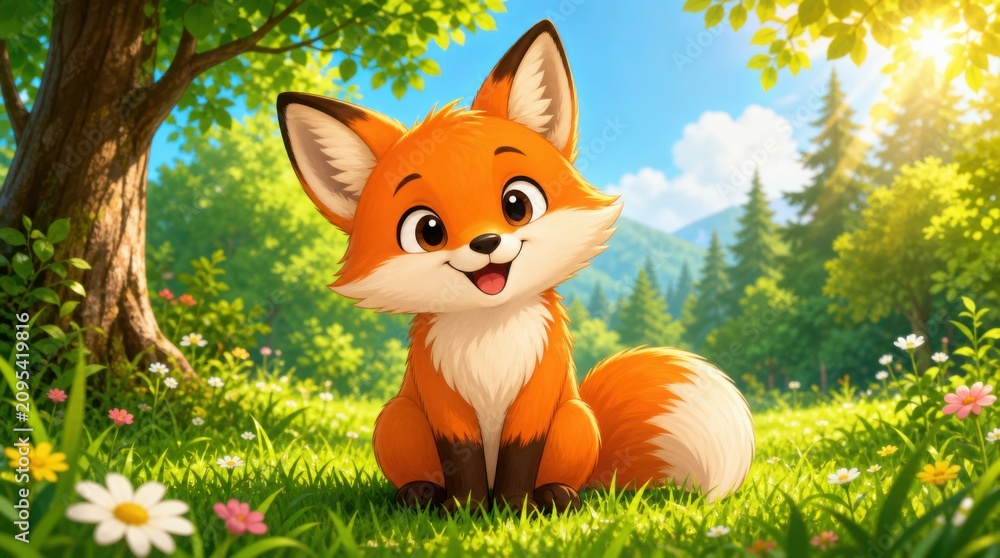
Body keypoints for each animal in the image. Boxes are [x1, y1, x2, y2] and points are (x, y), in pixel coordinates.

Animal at [276, 20, 755, 514]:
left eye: (517, 204)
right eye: (427, 230)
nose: (486, 243)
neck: (490, 335)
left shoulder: (538, 392)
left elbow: (521, 455)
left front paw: (514, 511)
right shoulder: (442, 398)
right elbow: (461, 457)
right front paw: (465, 512)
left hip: (574, 418)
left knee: (565, 476)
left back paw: (557, 496)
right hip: (398, 415)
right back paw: (419, 495)